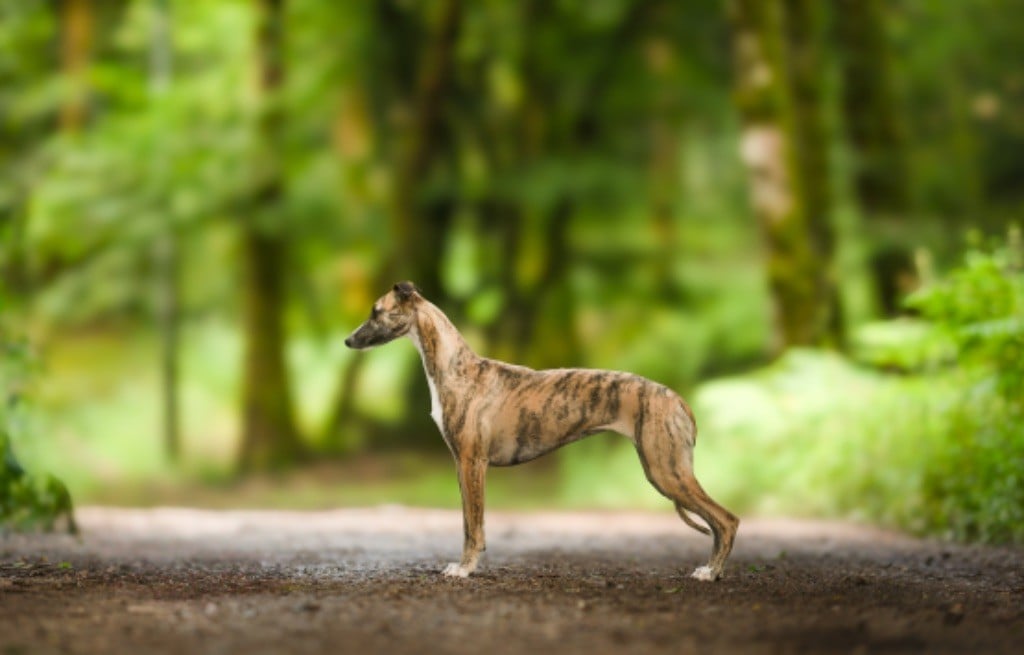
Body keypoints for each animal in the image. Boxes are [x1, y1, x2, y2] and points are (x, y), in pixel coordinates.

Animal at [348, 284, 741, 581]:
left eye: (375, 311)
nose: (348, 342)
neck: (457, 369)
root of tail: (678, 400)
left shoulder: (471, 462)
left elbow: (472, 526)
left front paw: (464, 569)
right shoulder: (464, 465)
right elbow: (469, 523)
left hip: (666, 470)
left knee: (726, 520)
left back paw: (711, 572)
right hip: (662, 467)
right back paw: (713, 570)